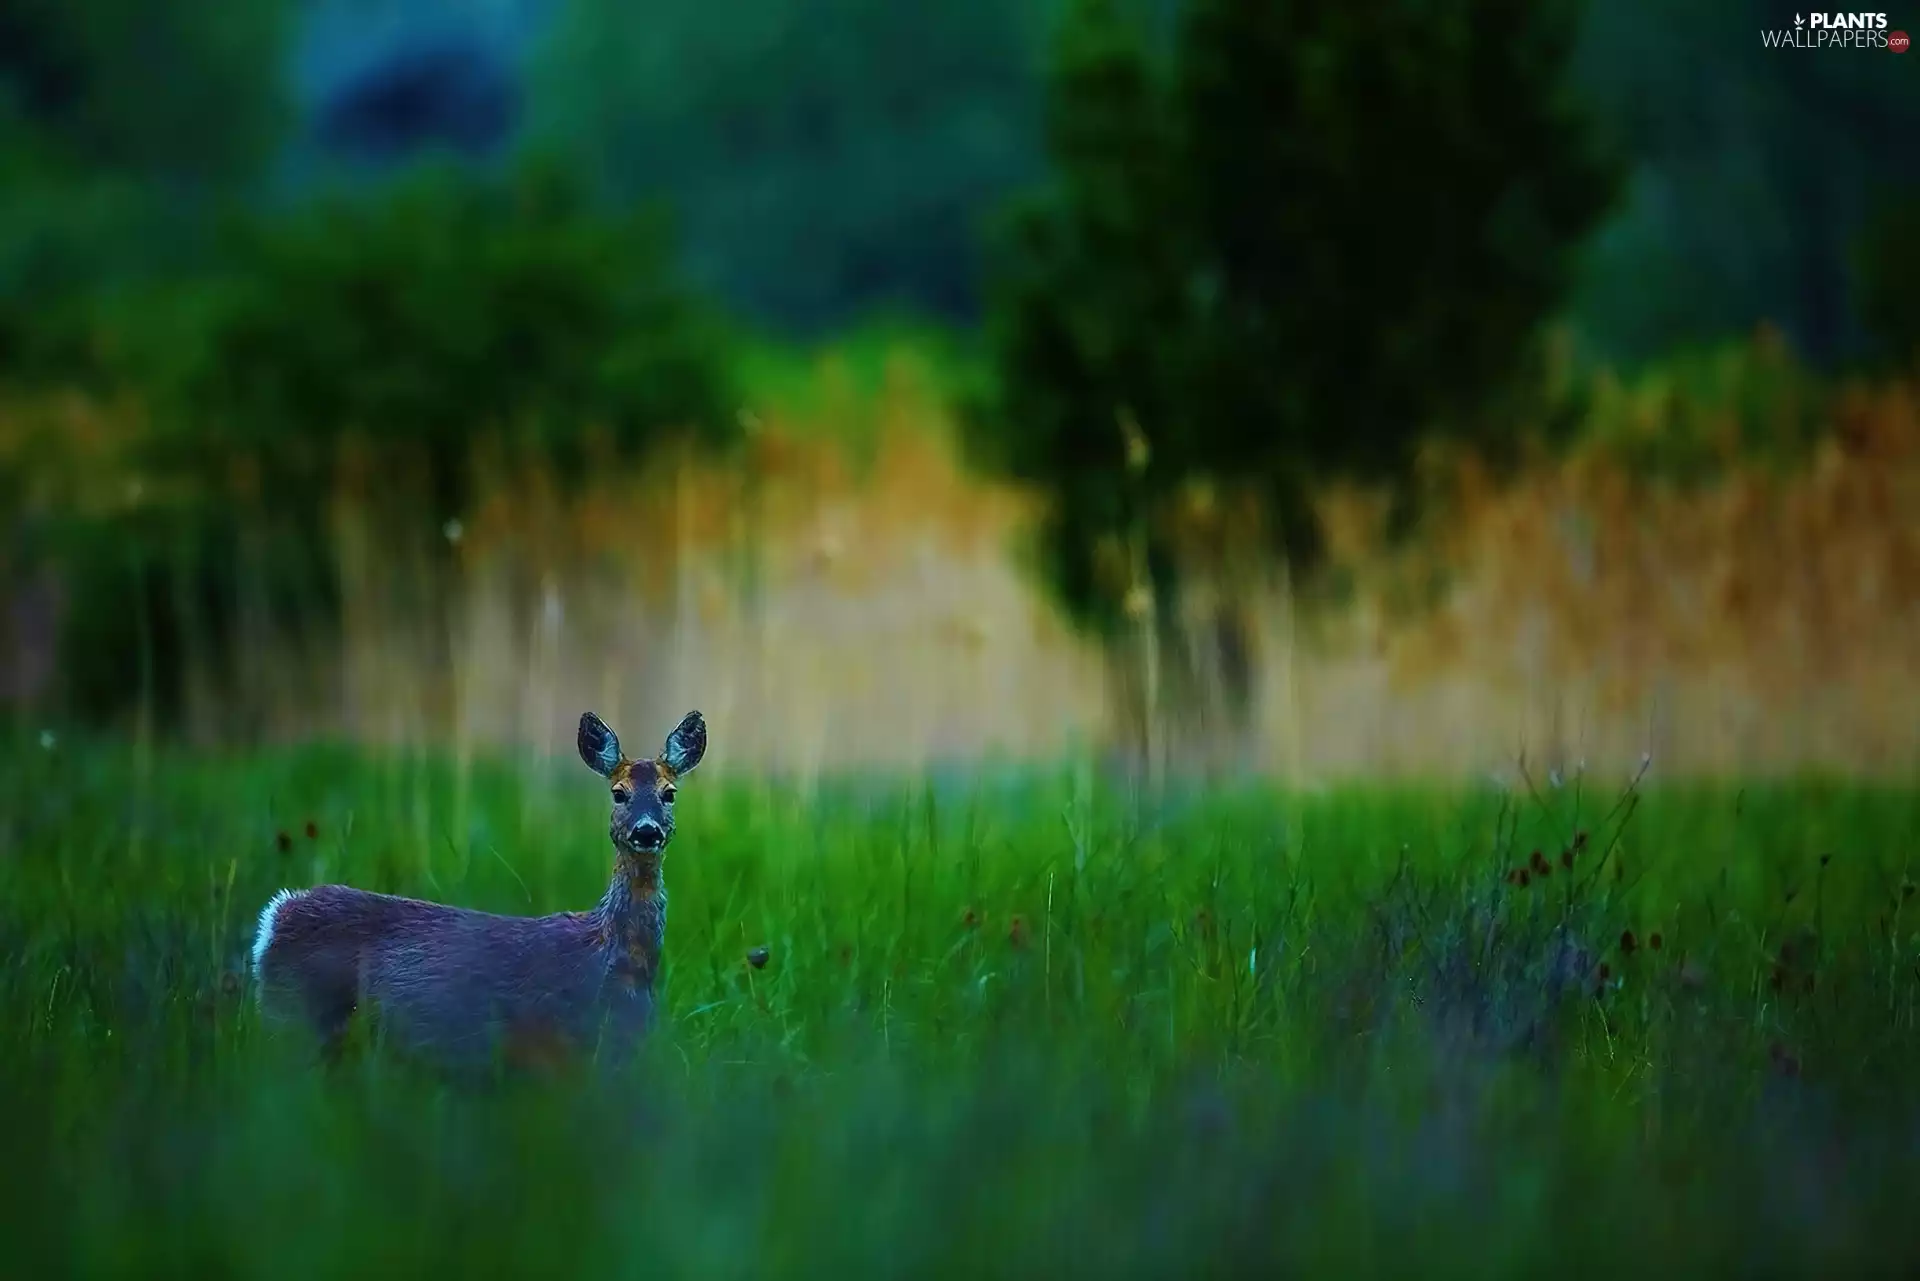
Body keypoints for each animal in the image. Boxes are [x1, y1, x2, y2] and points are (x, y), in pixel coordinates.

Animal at [250, 710, 706, 1074]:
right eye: (618, 793)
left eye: (669, 793)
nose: (646, 831)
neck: (616, 959)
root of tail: (275, 917)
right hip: (296, 1014)